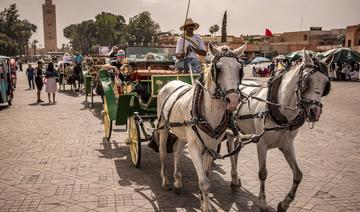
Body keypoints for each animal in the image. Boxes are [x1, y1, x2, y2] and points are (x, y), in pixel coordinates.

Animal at [158, 42, 248, 211]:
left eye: (240, 69)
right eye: (217, 68)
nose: (232, 100)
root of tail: (171, 82)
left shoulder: (210, 147)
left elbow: (206, 175)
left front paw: (202, 200)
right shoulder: (194, 148)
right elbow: (205, 182)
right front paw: (206, 206)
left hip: (182, 133)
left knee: (177, 150)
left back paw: (178, 182)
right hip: (163, 128)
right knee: (163, 153)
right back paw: (166, 182)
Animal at [228, 50, 332, 211]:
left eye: (326, 84)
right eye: (306, 82)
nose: (315, 112)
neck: (279, 111)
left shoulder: (287, 145)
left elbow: (298, 175)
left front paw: (285, 203)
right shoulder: (261, 144)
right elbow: (263, 173)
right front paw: (263, 202)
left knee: (236, 151)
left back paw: (235, 179)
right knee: (230, 149)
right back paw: (233, 178)